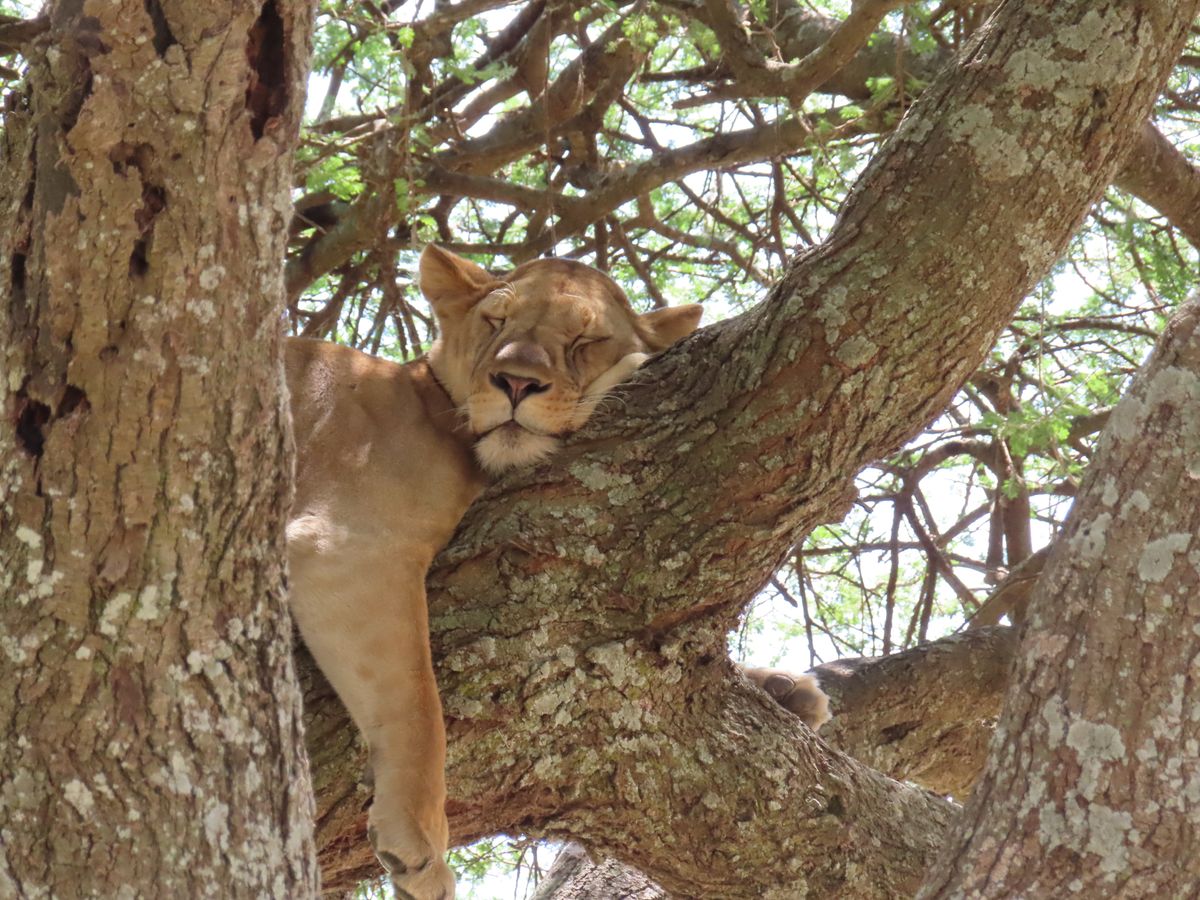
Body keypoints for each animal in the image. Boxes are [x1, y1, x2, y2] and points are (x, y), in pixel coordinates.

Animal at [284, 245, 703, 899]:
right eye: (495, 322)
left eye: (585, 338)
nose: (516, 382)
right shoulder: (350, 542)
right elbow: (418, 705)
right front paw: (421, 846)